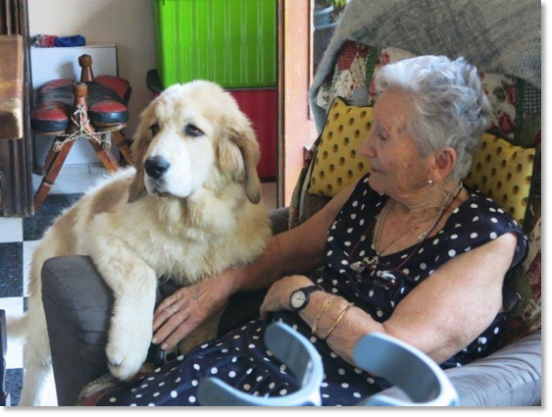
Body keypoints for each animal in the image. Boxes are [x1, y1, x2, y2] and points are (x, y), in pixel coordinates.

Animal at [9, 80, 272, 404]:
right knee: (35, 366)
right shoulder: (103, 230)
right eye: (154, 128)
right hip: (43, 328)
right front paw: (129, 349)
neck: (188, 222)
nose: (152, 167)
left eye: (194, 130)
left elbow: (209, 310)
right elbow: (142, 275)